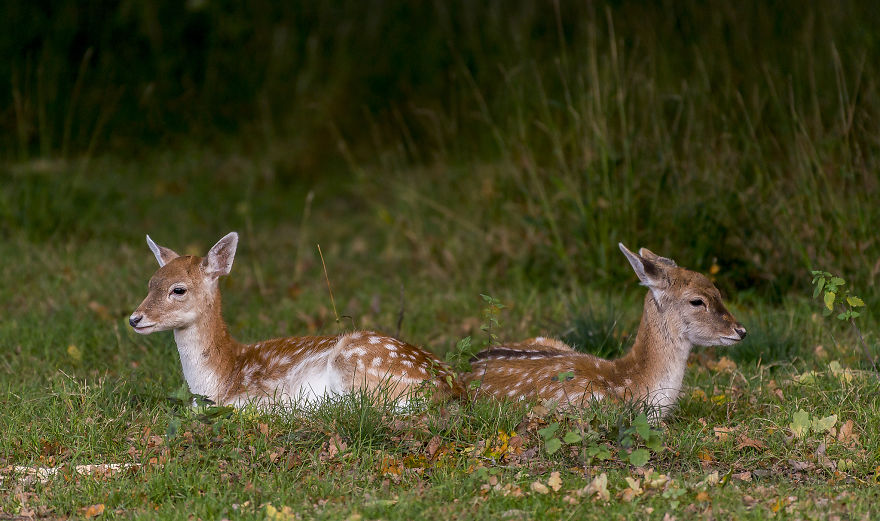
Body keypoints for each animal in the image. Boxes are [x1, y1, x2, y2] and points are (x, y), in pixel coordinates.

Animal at [129, 232, 463, 408]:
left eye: (178, 289)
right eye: (150, 283)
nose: (134, 318)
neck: (220, 379)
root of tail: (451, 390)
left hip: (356, 365)